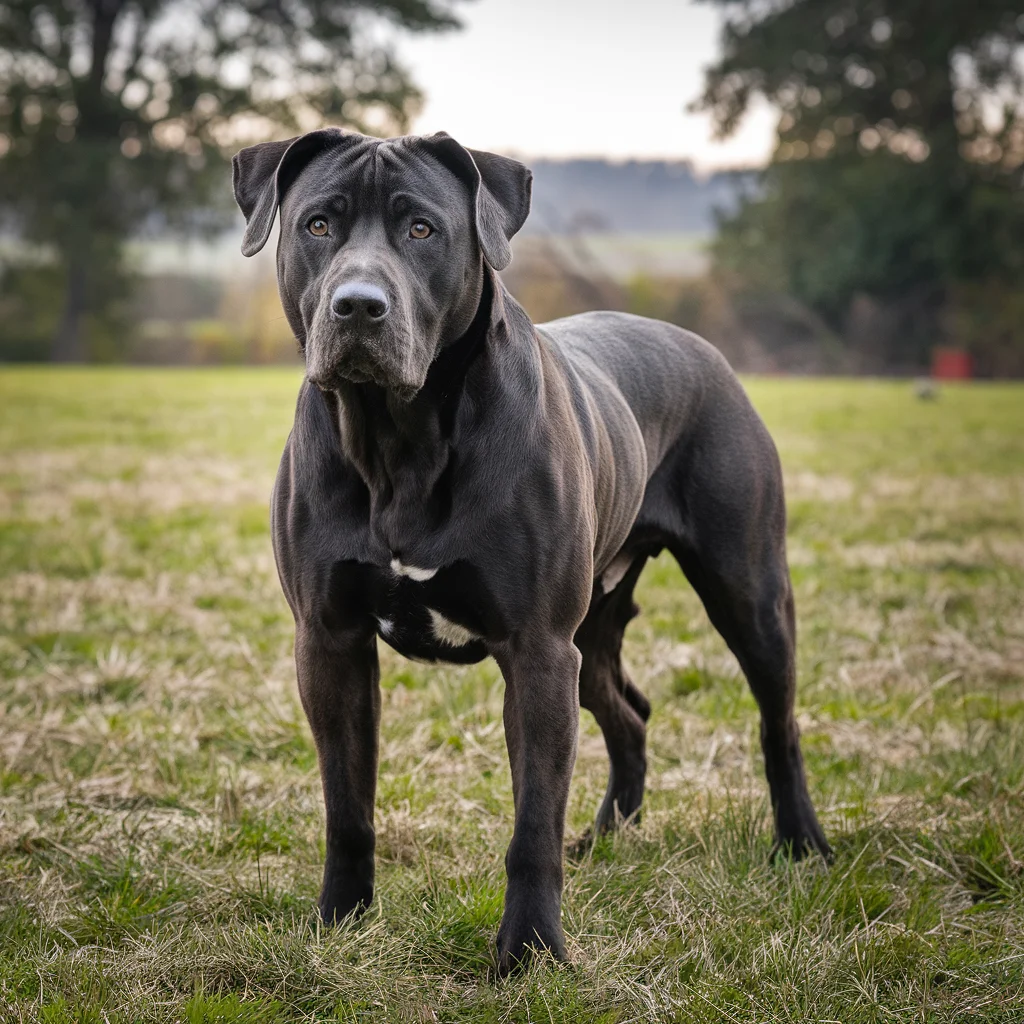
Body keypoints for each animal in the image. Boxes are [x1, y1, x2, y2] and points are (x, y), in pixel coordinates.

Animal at [232, 130, 831, 974]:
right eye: (319, 224)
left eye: (422, 229)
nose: (359, 305)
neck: (399, 440)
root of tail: (703, 348)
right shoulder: (330, 641)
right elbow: (347, 805)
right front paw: (339, 922)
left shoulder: (539, 649)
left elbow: (531, 824)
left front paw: (531, 952)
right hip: (596, 628)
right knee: (630, 714)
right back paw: (607, 838)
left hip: (747, 593)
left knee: (778, 723)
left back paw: (802, 843)